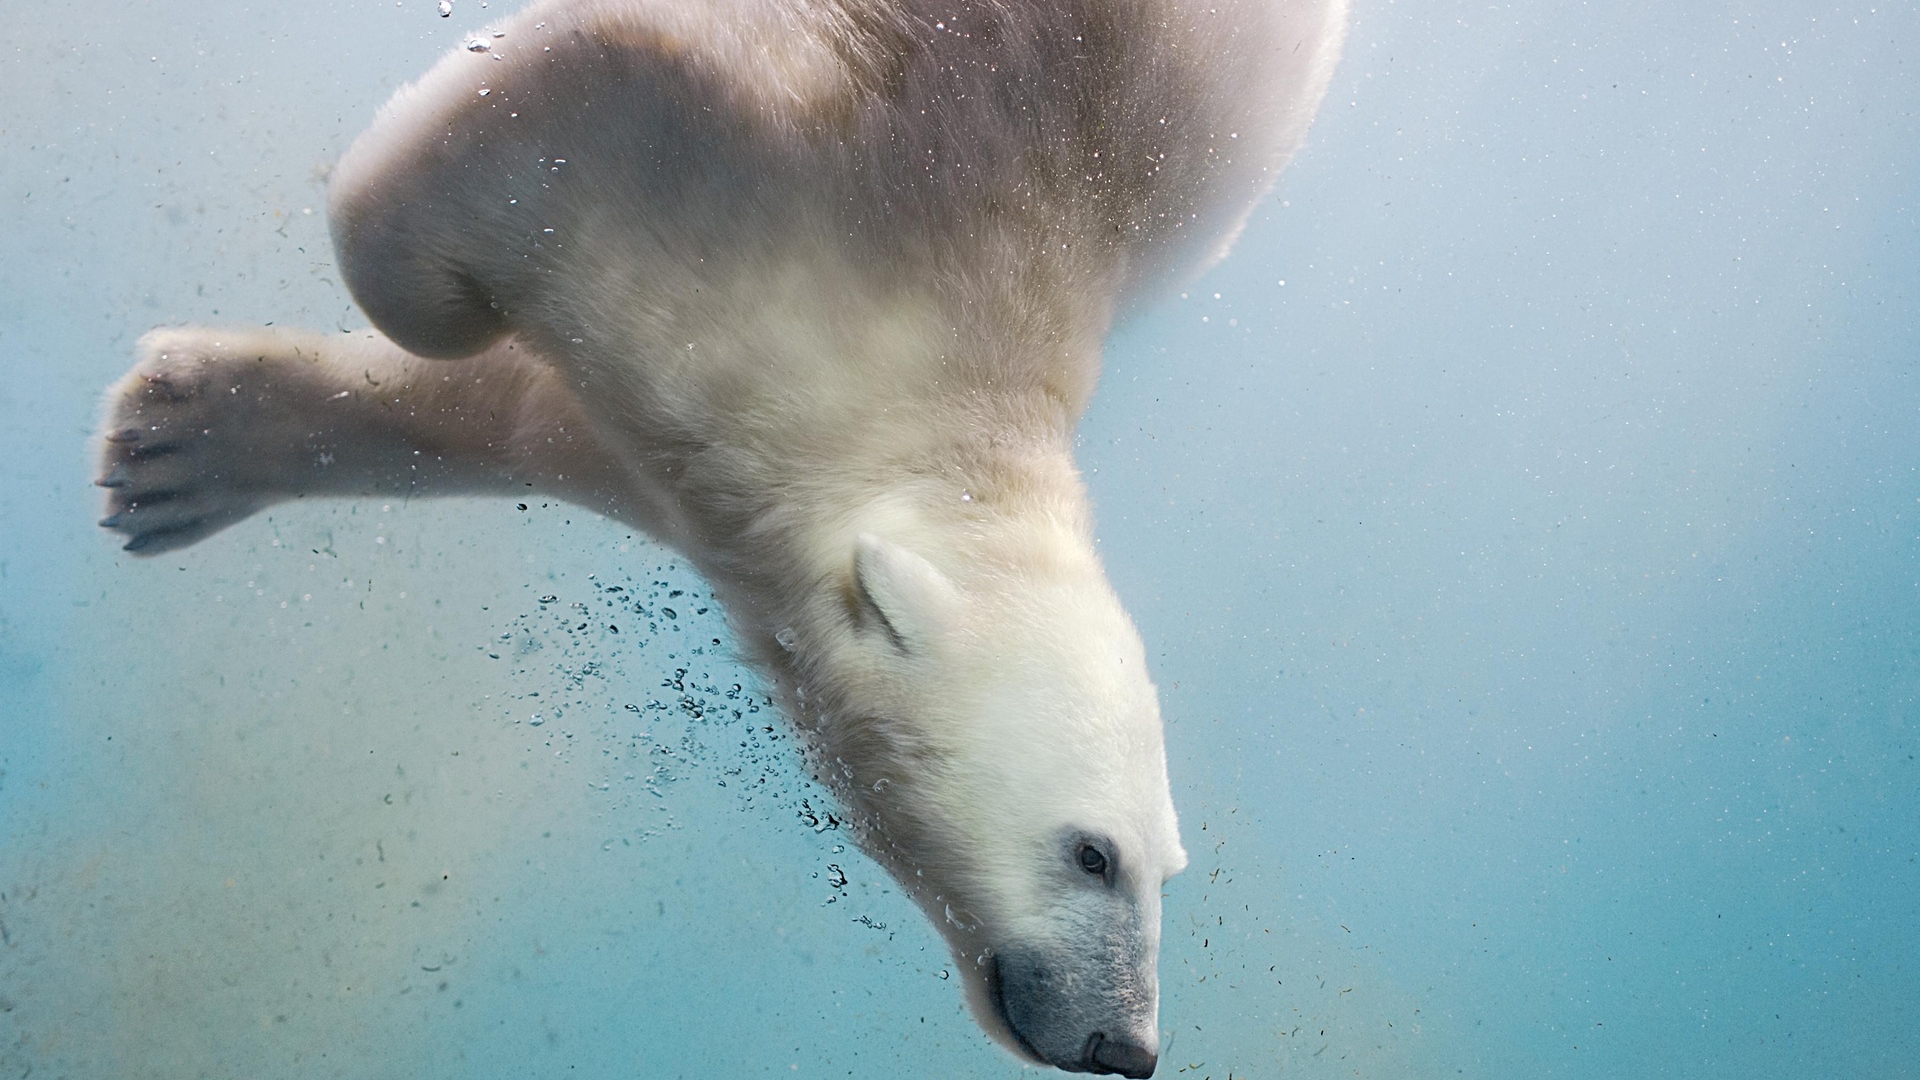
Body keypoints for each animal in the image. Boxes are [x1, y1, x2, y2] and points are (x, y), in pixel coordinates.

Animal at [97, 0, 1344, 1068]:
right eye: (1094, 853)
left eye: (1170, 870)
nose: (1127, 1047)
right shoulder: (797, 151)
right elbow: (479, 212)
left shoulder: (710, 437)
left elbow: (528, 415)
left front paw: (179, 444)